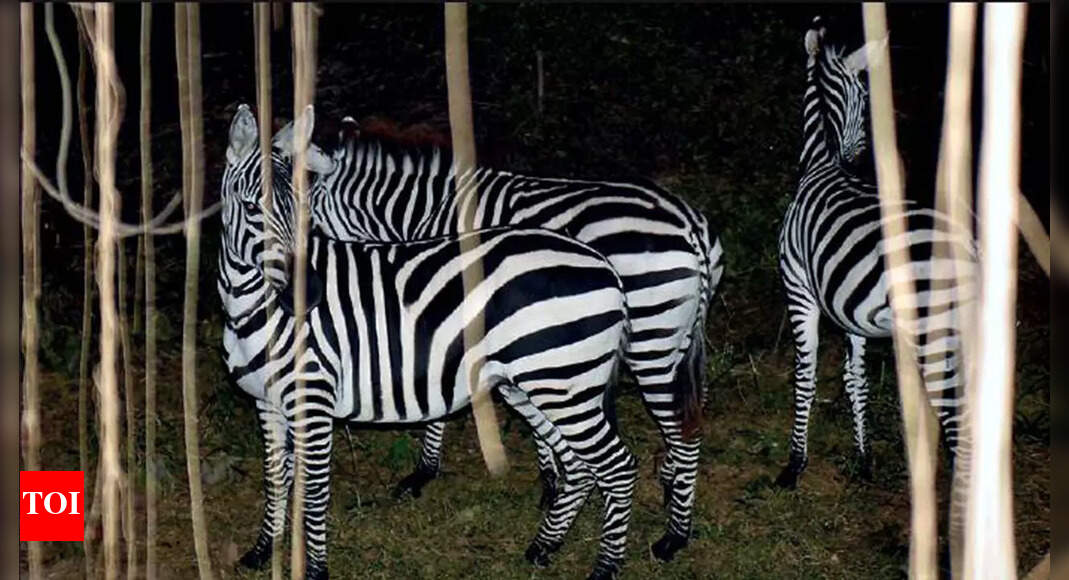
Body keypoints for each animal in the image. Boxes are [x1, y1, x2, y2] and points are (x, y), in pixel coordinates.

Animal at [220, 105, 639, 580]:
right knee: (577, 466)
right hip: (539, 386)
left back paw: (604, 567)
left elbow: (313, 493)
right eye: (251, 207)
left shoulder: (314, 401)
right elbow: (275, 480)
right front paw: (260, 551)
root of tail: (605, 265)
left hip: (565, 387)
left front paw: (315, 571)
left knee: (617, 467)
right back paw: (543, 547)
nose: (305, 296)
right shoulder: (266, 401)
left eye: (306, 209)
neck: (251, 308)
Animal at [274, 106, 723, 561]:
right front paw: (552, 480)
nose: (301, 289)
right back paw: (671, 487)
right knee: (691, 414)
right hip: (680, 340)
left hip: (651, 341)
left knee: (680, 427)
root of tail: (690, 227)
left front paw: (424, 472)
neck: (424, 209)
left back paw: (674, 536)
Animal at [775, 17, 976, 489]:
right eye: (865, 99)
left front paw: (794, 464)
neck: (822, 163)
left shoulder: (799, 290)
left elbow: (805, 375)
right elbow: (856, 380)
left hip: (932, 332)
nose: (860, 160)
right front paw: (863, 457)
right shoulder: (852, 314)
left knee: (958, 424)